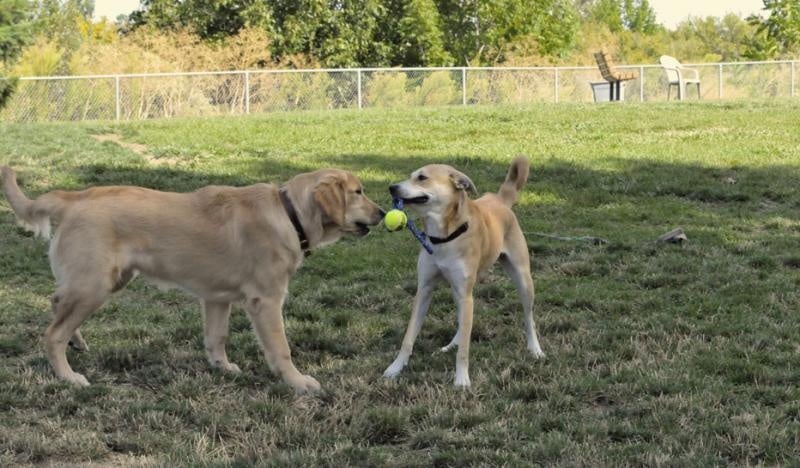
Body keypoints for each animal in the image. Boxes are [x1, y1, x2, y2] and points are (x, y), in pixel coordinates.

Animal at [0, 166, 382, 394]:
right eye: (359, 192)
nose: (382, 212)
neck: (289, 215)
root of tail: (74, 197)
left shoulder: (217, 298)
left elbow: (216, 337)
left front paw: (222, 367)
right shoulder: (267, 300)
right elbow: (281, 349)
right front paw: (297, 382)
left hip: (103, 281)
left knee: (56, 301)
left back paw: (76, 343)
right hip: (94, 286)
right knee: (52, 333)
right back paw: (68, 376)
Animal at [382, 157, 544, 388]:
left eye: (422, 177)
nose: (392, 187)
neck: (444, 237)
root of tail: (499, 199)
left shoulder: (465, 294)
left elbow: (465, 350)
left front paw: (461, 380)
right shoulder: (425, 290)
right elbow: (409, 336)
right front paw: (395, 368)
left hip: (522, 280)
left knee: (528, 317)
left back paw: (535, 349)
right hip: (458, 290)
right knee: (462, 322)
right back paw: (451, 344)